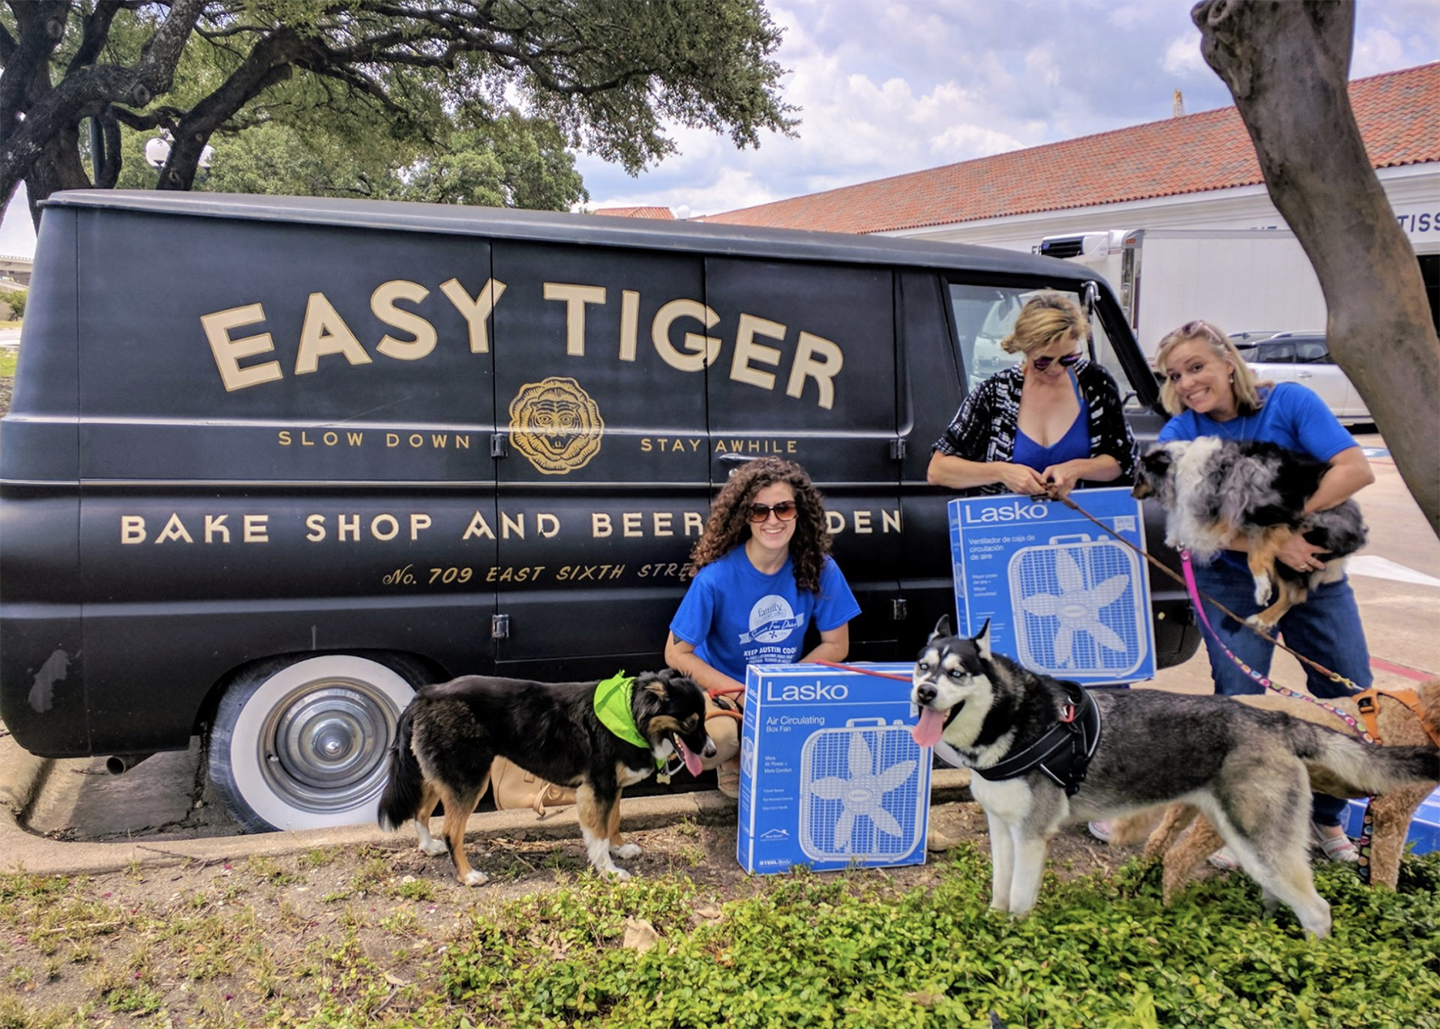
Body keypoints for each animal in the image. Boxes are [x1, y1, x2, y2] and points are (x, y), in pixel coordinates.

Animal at [374, 667, 711, 886]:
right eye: (691, 722)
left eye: (705, 718)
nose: (711, 751)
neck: (628, 714)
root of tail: (426, 694)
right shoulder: (597, 788)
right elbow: (599, 833)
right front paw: (608, 869)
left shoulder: (611, 786)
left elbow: (614, 820)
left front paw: (620, 848)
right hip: (469, 780)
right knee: (451, 831)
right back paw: (468, 875)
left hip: (438, 776)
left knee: (421, 813)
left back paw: (428, 847)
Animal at [1111, 679, 1440, 903]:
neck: (1424, 716)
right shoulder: (1392, 812)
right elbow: (1386, 868)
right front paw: (1384, 905)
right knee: (1178, 858)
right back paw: (1174, 911)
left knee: (1158, 840)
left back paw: (1138, 885)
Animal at [1128, 437, 1365, 627]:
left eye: (1139, 477)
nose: (1130, 494)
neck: (1177, 468)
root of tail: (1356, 535)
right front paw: (1174, 536)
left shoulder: (1266, 519)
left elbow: (1253, 558)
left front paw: (1262, 589)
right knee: (1295, 594)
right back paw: (1262, 620)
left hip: (1302, 543)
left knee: (1294, 592)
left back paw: (1262, 616)